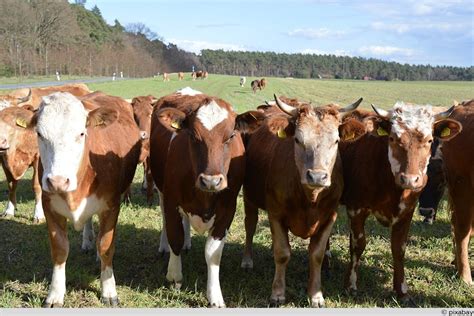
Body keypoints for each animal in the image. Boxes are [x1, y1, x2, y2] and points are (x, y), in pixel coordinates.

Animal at [24, 90, 143, 306]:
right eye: (39, 134)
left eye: (81, 133)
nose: (58, 181)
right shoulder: (49, 207)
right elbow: (59, 249)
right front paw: (55, 294)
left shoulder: (111, 206)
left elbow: (106, 246)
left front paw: (109, 291)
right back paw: (88, 241)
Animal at [150, 86, 264, 306]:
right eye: (193, 136)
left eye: (231, 136)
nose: (211, 181)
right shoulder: (171, 200)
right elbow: (174, 237)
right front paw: (175, 277)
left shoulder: (228, 209)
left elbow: (212, 253)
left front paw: (215, 296)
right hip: (160, 190)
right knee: (165, 221)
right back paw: (163, 245)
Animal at [241, 94, 366, 306]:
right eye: (298, 139)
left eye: (336, 140)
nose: (317, 176)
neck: (309, 199)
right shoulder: (275, 214)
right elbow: (282, 253)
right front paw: (277, 293)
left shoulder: (329, 217)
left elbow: (316, 254)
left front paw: (315, 294)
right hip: (249, 197)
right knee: (250, 225)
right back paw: (247, 260)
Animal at [338, 102, 462, 304]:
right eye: (393, 138)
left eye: (429, 140)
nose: (410, 179)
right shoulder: (356, 209)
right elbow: (358, 245)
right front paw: (350, 284)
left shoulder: (406, 213)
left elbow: (399, 248)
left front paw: (401, 290)